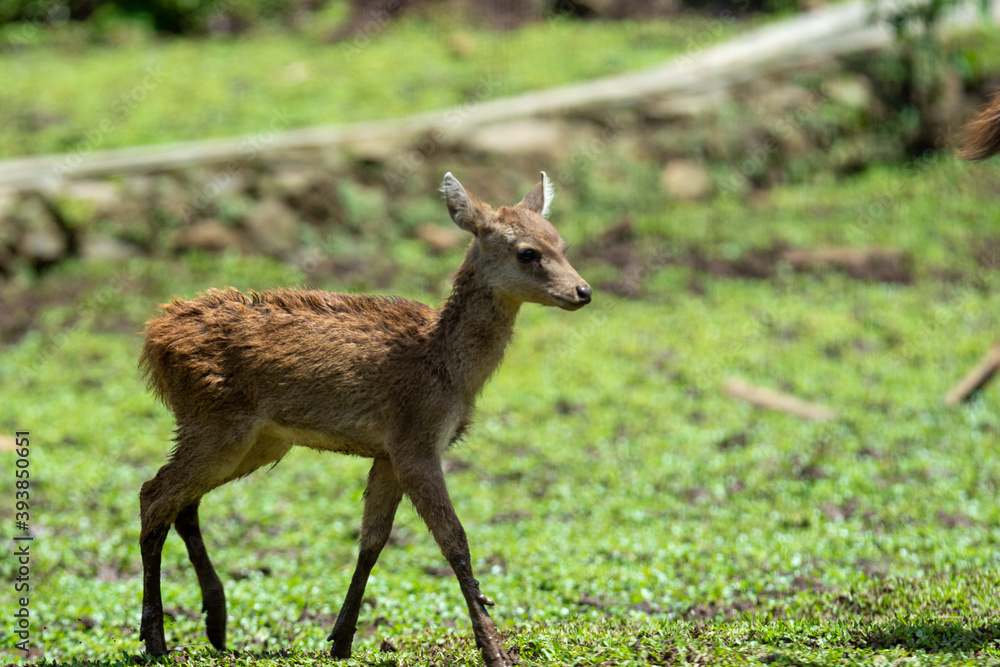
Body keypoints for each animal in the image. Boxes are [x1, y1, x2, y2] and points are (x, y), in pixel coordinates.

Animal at [141, 174, 592, 667]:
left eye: (562, 243)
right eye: (527, 252)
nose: (583, 291)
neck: (447, 370)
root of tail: (154, 339)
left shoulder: (388, 453)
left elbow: (372, 541)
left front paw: (341, 640)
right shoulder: (416, 441)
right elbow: (454, 539)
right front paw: (494, 648)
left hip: (257, 439)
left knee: (183, 502)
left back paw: (215, 624)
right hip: (216, 422)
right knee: (153, 495)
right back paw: (155, 641)